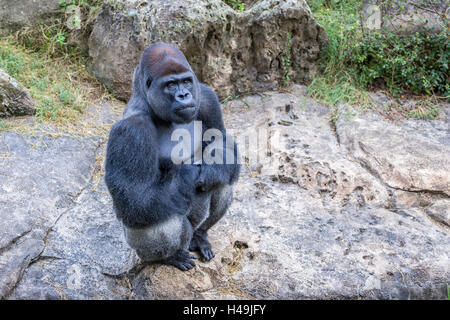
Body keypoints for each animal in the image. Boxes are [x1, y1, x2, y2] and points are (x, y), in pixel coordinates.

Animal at [104, 43, 241, 270]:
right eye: (170, 85)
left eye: (186, 81)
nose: (184, 95)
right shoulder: (131, 132)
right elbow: (134, 199)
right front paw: (187, 173)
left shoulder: (206, 97)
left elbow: (221, 141)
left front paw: (212, 168)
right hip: (139, 248)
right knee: (158, 218)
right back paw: (169, 257)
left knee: (223, 182)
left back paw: (200, 235)